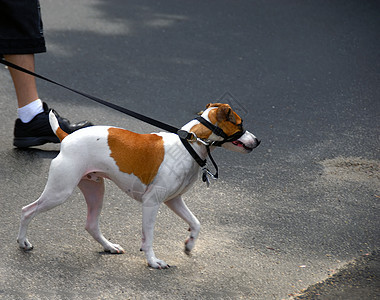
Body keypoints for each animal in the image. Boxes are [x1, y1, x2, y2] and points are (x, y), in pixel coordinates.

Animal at [16, 103, 260, 270]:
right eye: (240, 124)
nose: (258, 141)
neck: (188, 144)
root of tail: (66, 137)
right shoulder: (151, 203)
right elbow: (148, 237)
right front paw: (153, 261)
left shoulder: (174, 200)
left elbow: (196, 223)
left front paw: (190, 244)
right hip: (59, 192)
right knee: (27, 211)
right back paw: (23, 242)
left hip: (95, 190)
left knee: (91, 224)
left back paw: (109, 246)